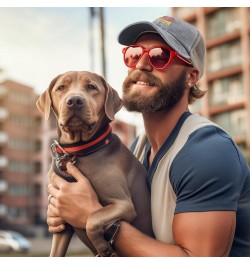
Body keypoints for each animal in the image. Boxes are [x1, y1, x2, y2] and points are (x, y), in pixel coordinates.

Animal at [36, 70, 153, 256]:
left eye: (91, 87)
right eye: (61, 87)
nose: (74, 101)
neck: (79, 153)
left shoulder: (123, 205)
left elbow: (92, 218)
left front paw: (103, 248)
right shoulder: (61, 223)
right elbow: (55, 253)